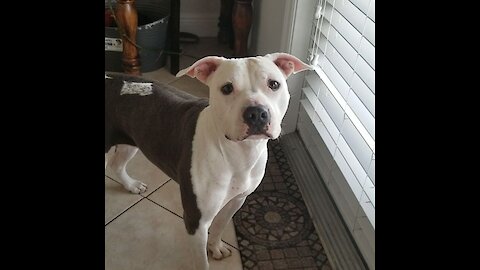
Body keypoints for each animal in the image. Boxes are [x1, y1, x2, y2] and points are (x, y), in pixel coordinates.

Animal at [105, 52, 312, 268]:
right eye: (227, 88)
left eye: (274, 84)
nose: (256, 113)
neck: (238, 154)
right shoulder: (196, 221)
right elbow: (201, 262)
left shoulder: (236, 201)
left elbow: (220, 226)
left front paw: (216, 247)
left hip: (130, 140)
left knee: (116, 164)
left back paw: (131, 185)